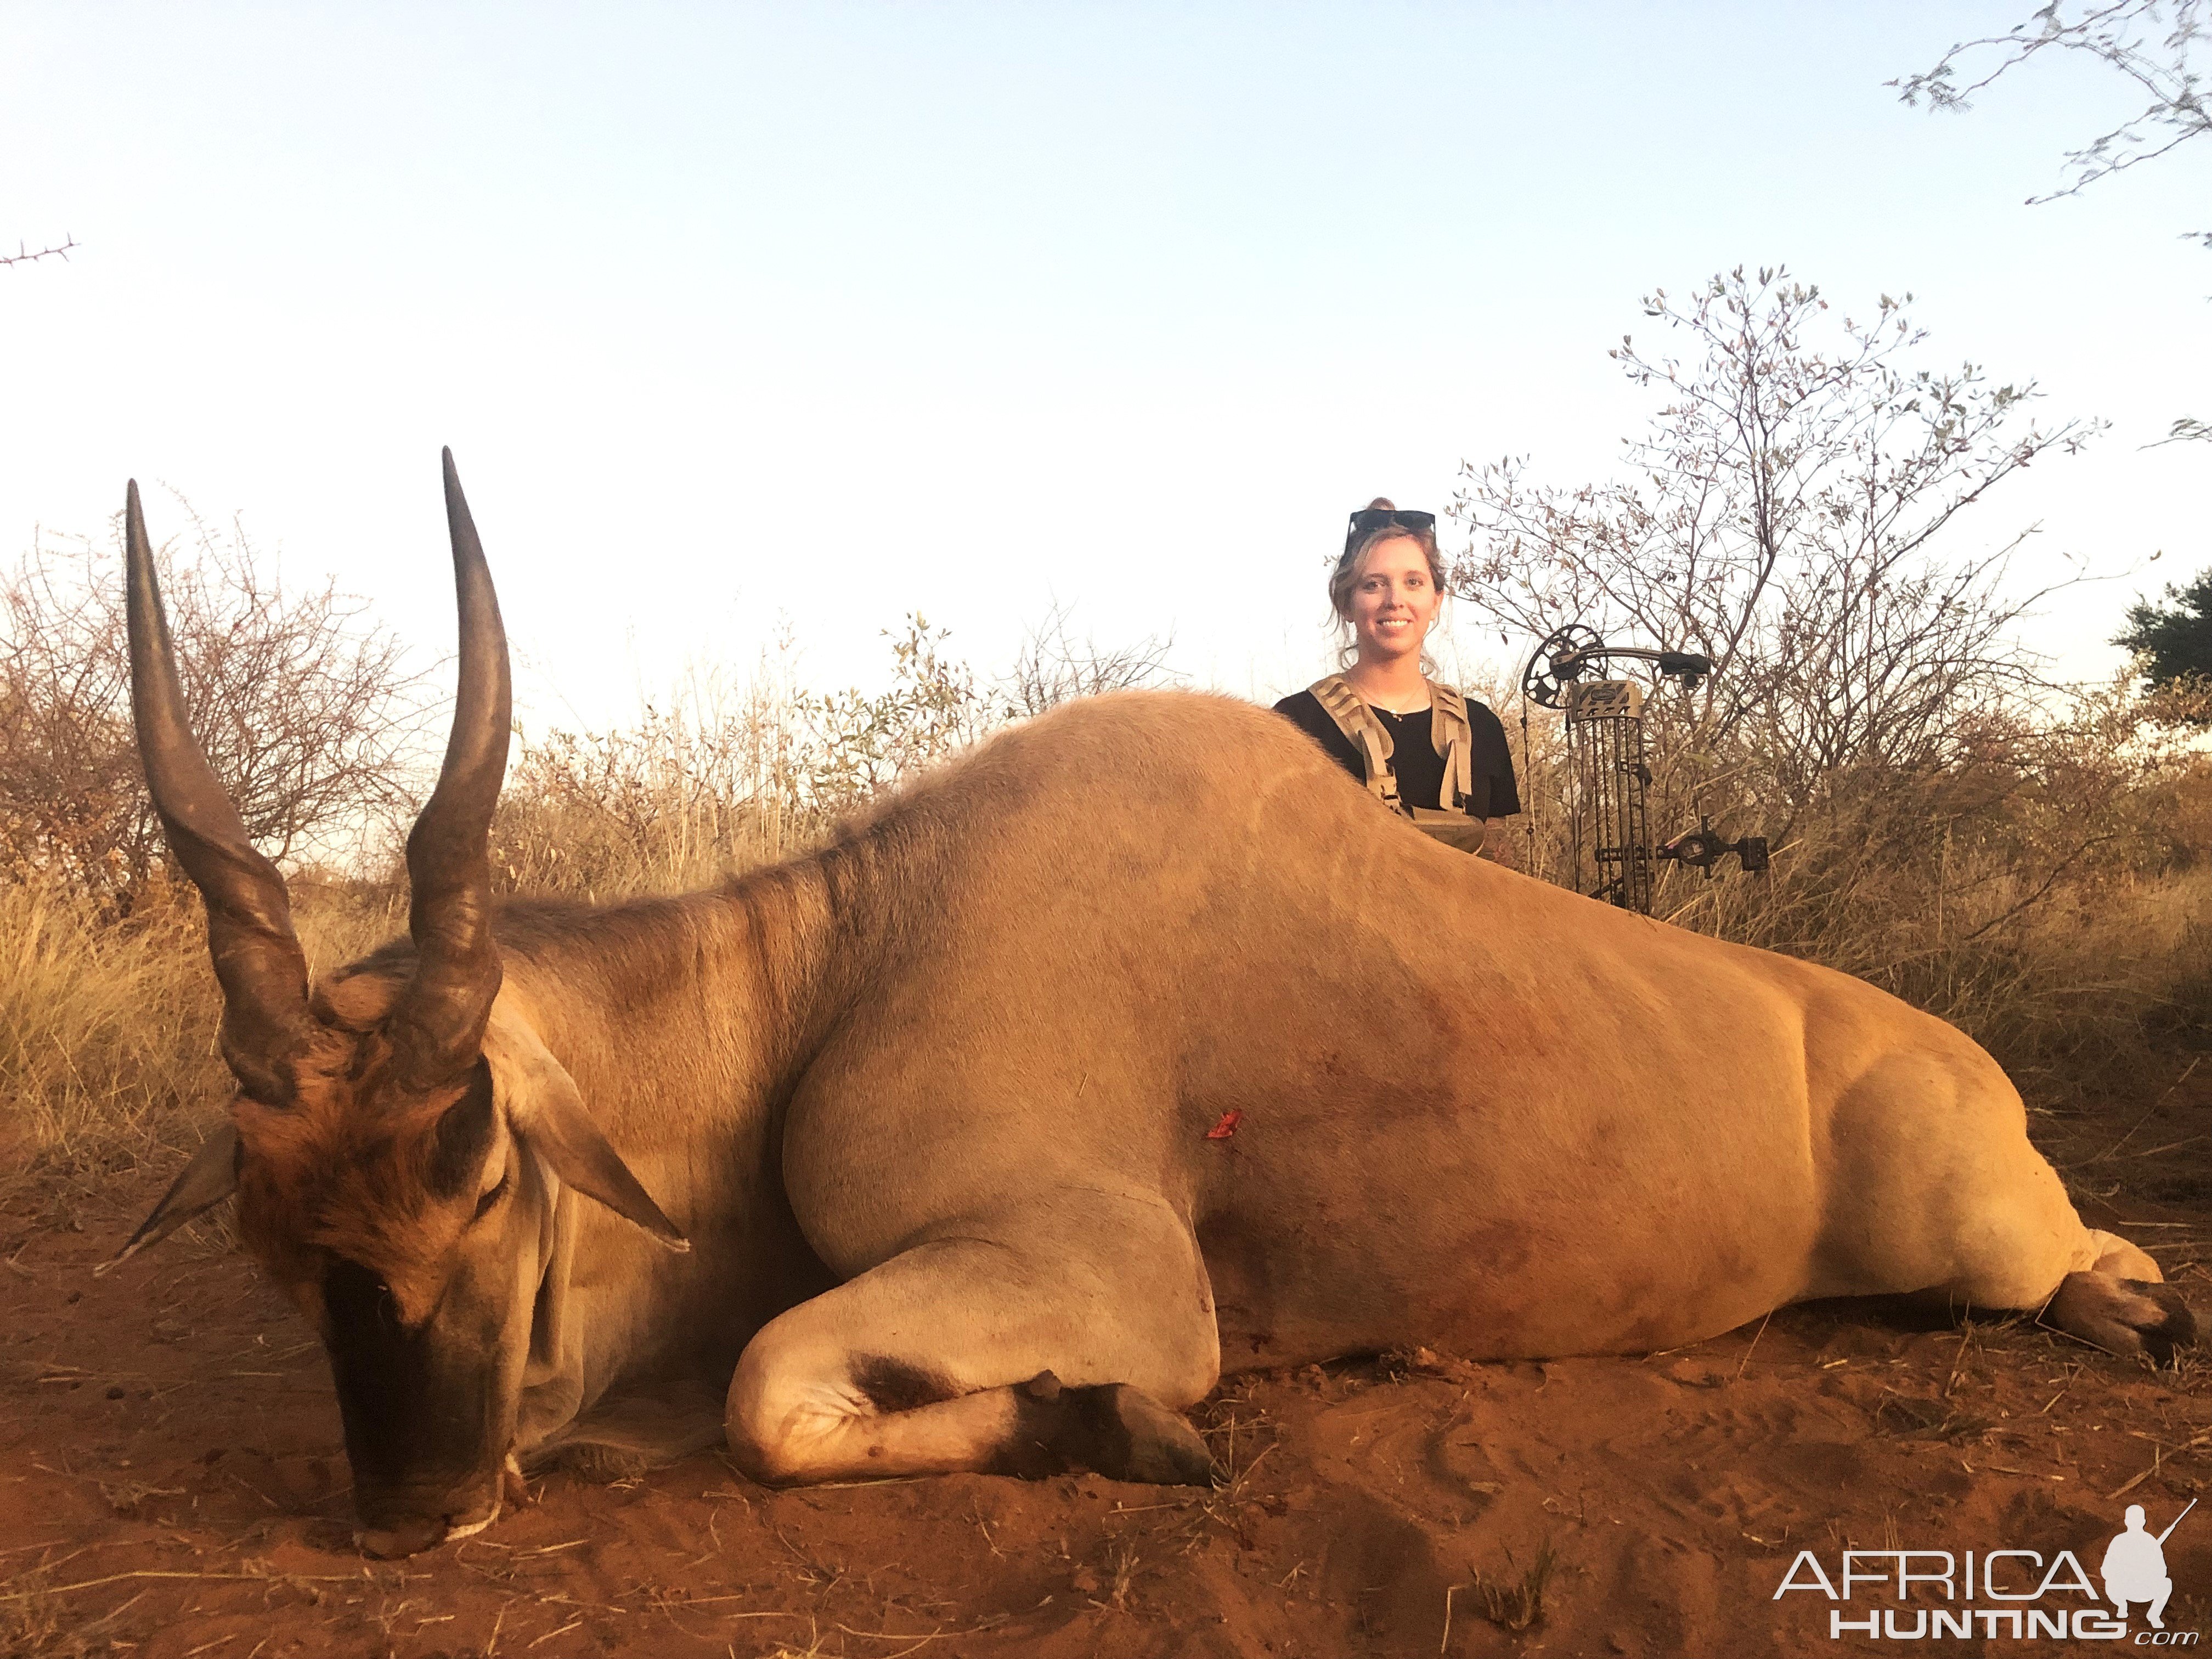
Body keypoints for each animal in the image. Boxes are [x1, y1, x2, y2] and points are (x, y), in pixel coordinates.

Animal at [116, 455, 2194, 1557]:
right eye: (272, 1243)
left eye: (482, 1177)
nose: (414, 1508)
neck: (837, 963)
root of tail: (1957, 1064)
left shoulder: (1119, 1272)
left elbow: (776, 1392)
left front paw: (1105, 1428)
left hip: (1979, 1239)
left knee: (2082, 1257)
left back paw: (2133, 1309)